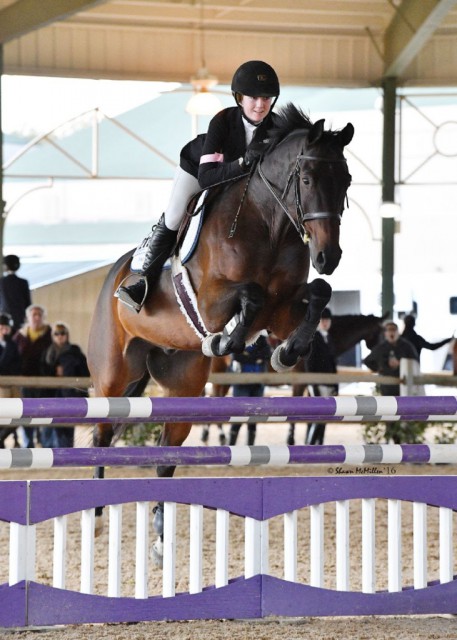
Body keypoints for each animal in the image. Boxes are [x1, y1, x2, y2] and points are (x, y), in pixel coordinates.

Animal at [86, 104, 352, 552]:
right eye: (308, 179)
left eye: (346, 181)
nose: (327, 256)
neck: (270, 224)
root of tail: (114, 274)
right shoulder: (213, 301)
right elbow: (250, 297)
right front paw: (227, 339)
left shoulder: (283, 310)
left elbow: (317, 293)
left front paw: (286, 353)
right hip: (113, 374)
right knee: (102, 436)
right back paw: (97, 516)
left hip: (183, 384)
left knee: (166, 457)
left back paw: (161, 537)